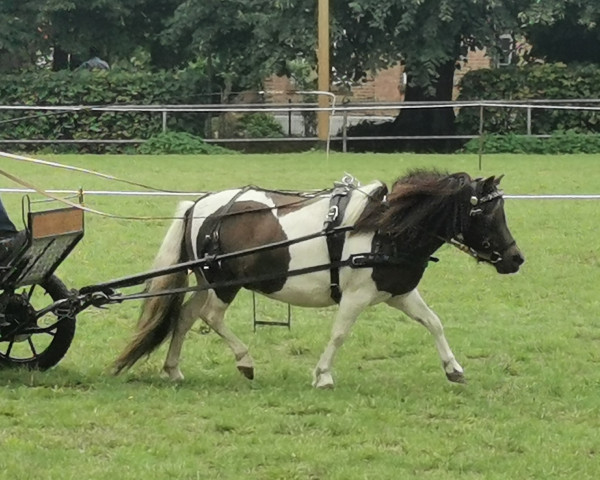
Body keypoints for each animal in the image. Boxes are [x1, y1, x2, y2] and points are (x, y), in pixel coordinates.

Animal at [115, 171, 524, 388]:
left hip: (206, 281)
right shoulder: (356, 296)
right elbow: (340, 334)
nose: (516, 259)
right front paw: (323, 374)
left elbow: (434, 323)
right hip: (225, 284)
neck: (383, 229)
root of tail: (199, 206)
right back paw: (244, 360)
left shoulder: (400, 292)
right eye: (488, 214)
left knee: (184, 317)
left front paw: (453, 368)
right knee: (210, 317)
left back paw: (173, 369)